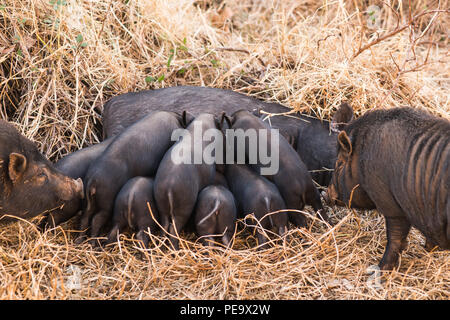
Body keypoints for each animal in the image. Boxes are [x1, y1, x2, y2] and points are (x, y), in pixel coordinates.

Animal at [326, 107, 450, 270]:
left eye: (339, 163)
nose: (324, 194)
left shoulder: (391, 205)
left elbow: (394, 239)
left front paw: (381, 268)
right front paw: (427, 249)